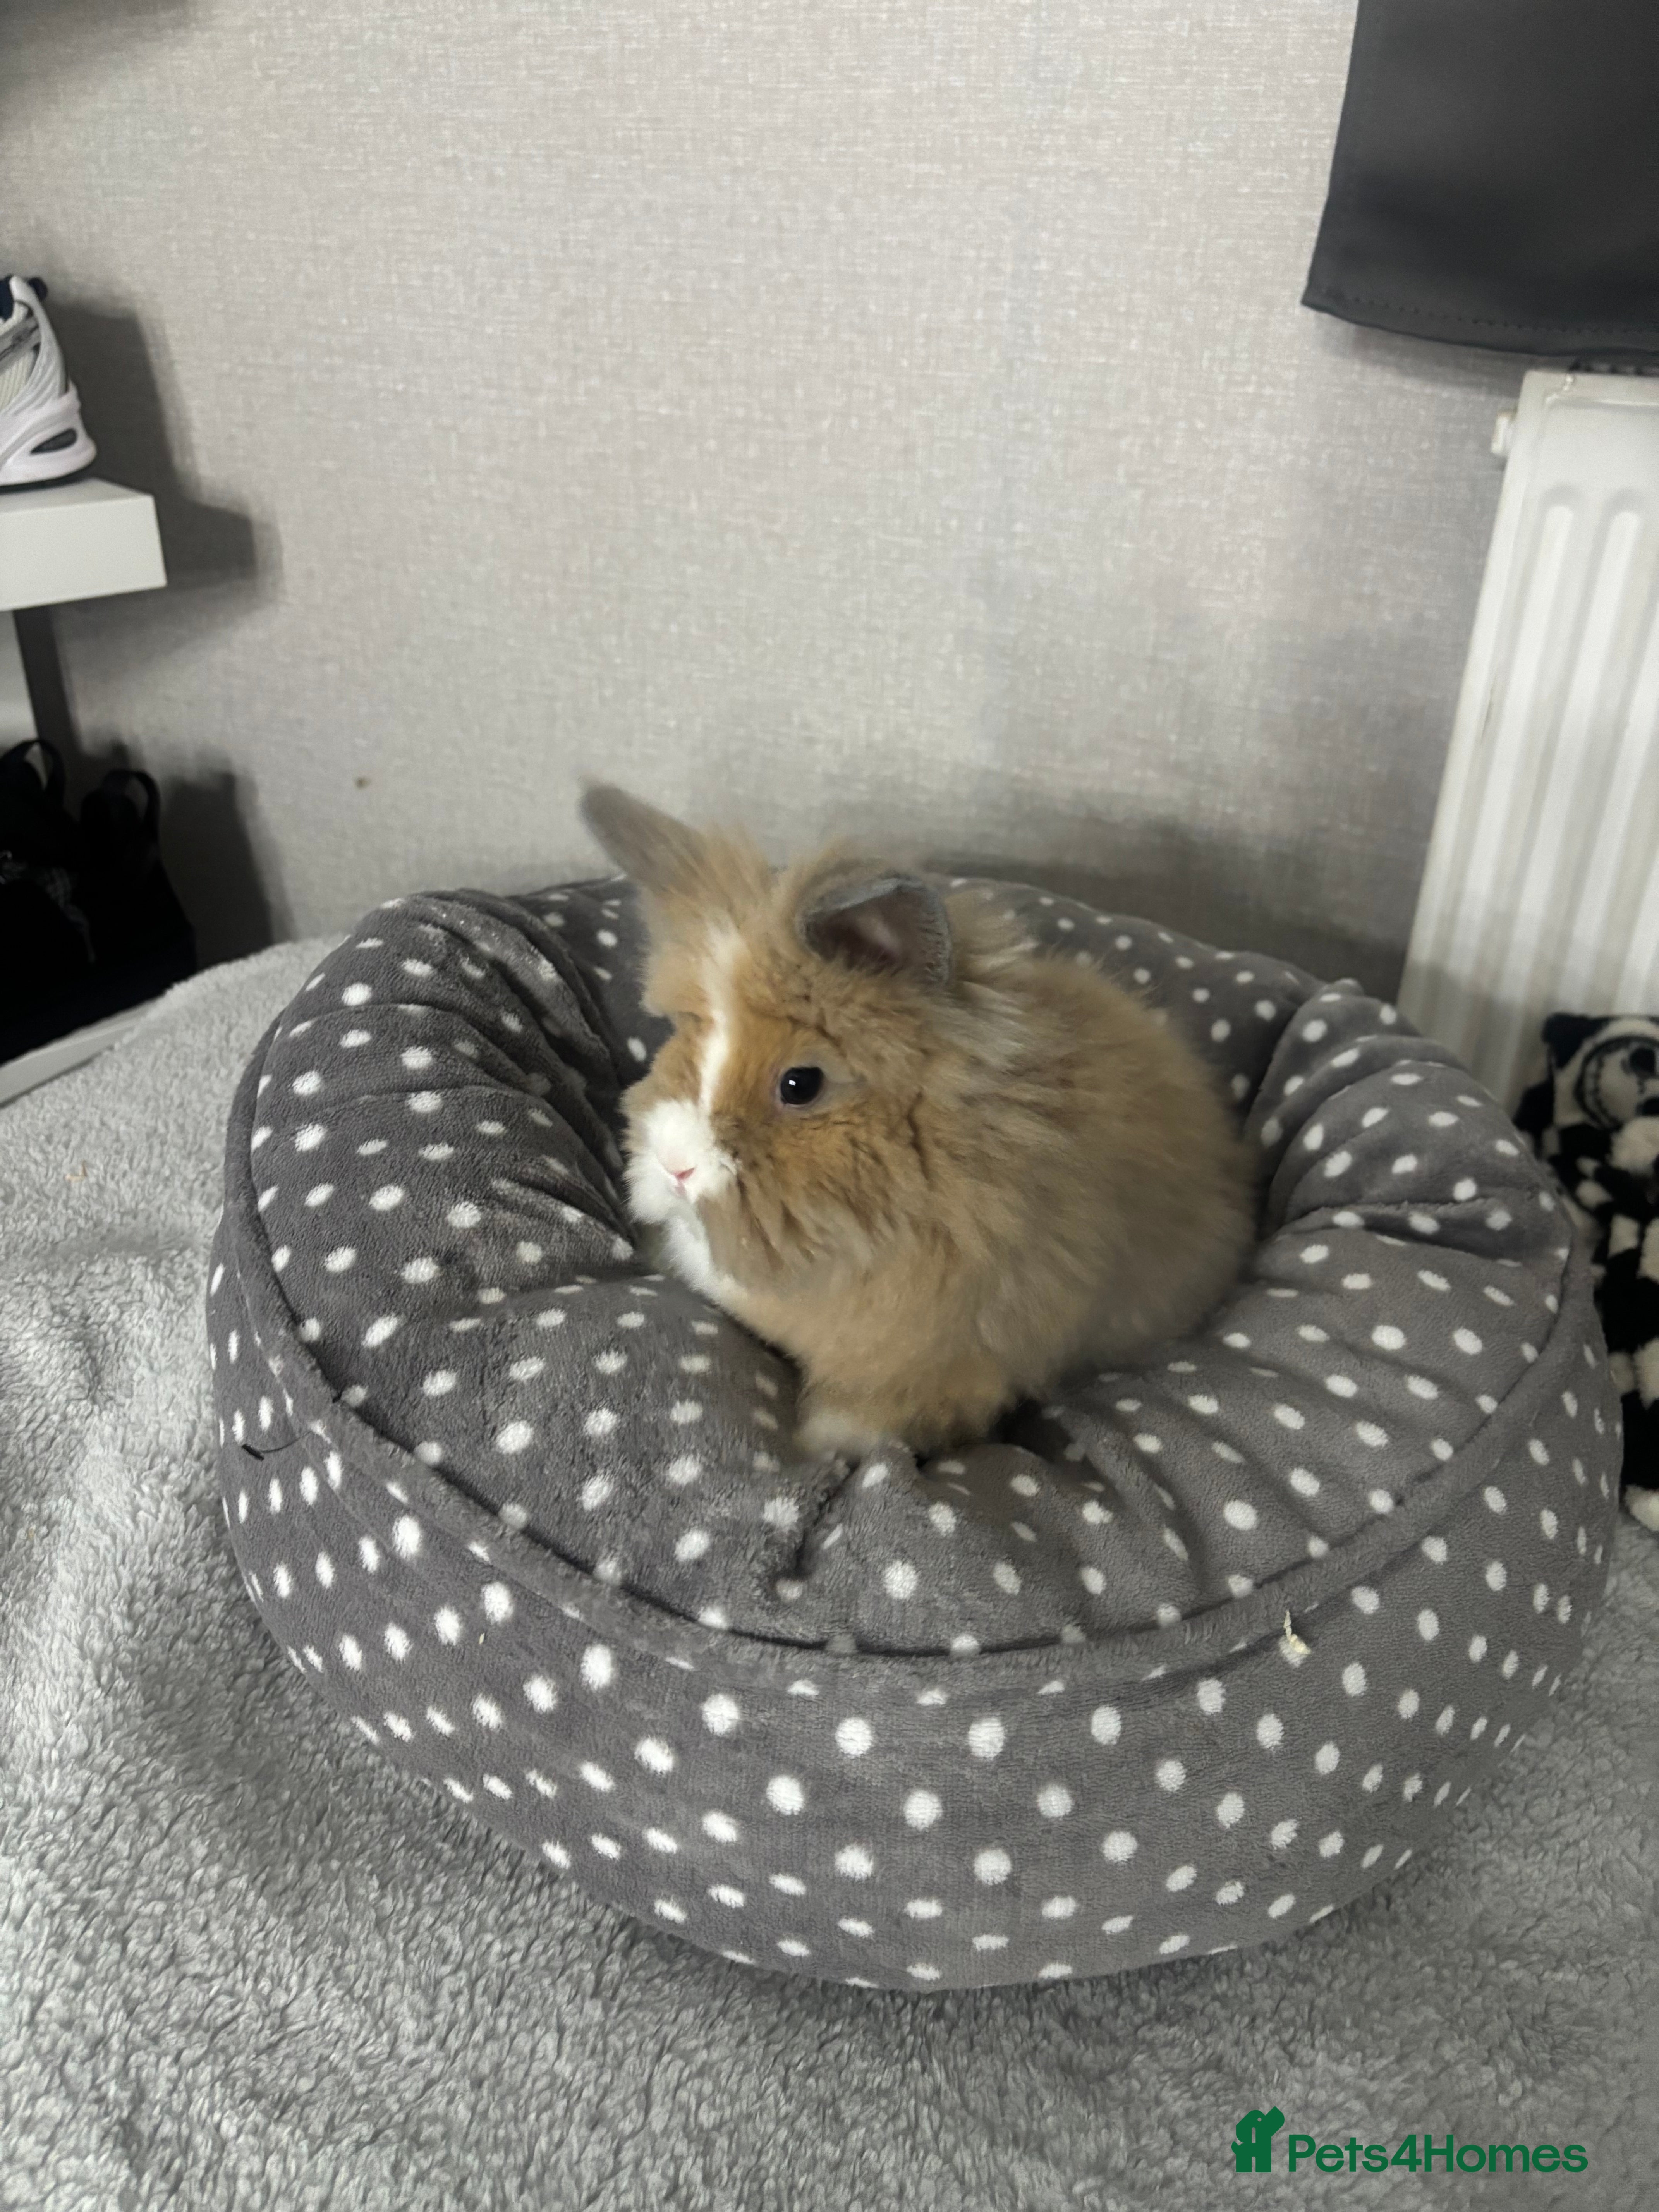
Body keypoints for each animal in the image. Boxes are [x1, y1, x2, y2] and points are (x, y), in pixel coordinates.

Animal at [580, 783, 1257, 1459]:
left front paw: (820, 1452)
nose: (676, 1165)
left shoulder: (932, 1370)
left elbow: (866, 1417)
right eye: (684, 1040)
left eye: (800, 1084)